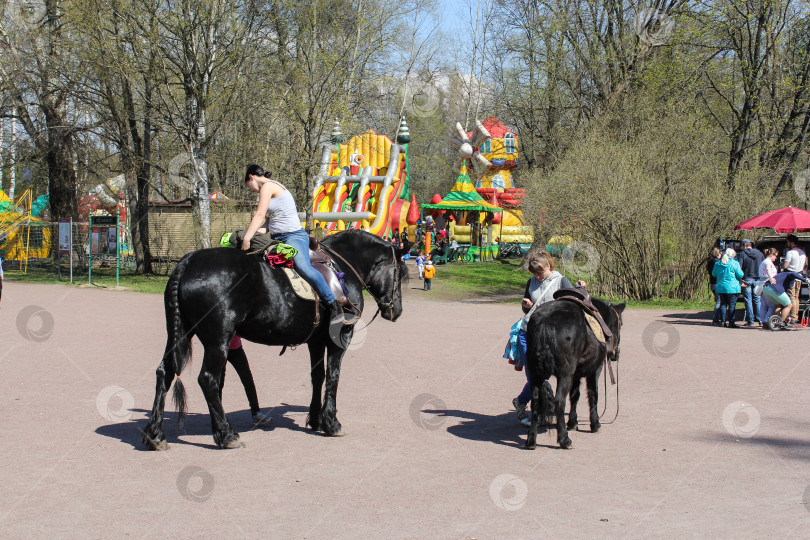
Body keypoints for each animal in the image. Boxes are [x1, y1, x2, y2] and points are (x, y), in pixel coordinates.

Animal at [143, 230, 408, 450]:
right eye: (400, 275)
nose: (396, 310)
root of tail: (187, 263)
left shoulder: (315, 340)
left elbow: (317, 377)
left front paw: (315, 418)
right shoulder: (339, 338)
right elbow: (333, 377)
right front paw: (331, 422)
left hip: (179, 333)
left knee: (164, 373)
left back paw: (155, 434)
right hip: (217, 341)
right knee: (208, 379)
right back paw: (226, 434)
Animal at [524, 298, 624, 450]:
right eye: (621, 324)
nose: (616, 354)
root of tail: (544, 321)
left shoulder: (576, 374)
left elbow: (575, 396)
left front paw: (572, 422)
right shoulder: (595, 369)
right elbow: (593, 394)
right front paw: (595, 424)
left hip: (535, 373)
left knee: (535, 401)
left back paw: (531, 441)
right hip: (565, 375)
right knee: (559, 401)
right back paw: (564, 440)